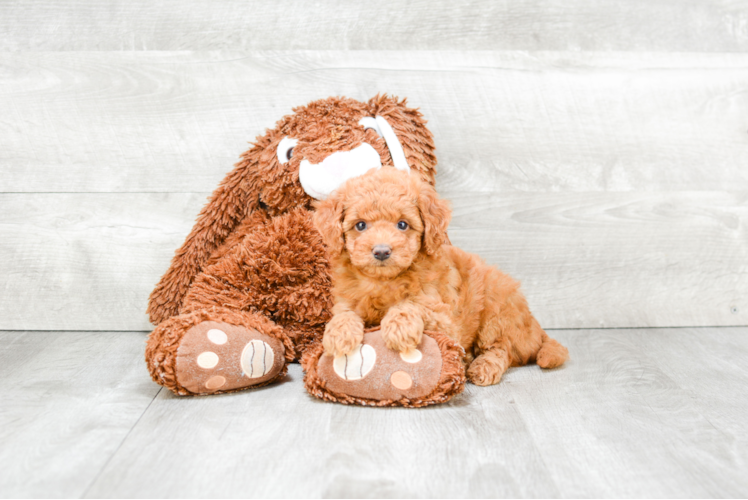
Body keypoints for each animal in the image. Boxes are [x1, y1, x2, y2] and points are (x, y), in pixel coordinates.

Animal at [312, 169, 568, 386]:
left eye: (402, 224)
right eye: (360, 225)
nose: (382, 251)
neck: (383, 281)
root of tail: (534, 325)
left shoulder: (444, 317)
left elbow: (411, 304)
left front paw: (399, 328)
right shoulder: (345, 300)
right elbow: (344, 314)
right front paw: (339, 334)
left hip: (497, 308)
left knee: (502, 348)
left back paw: (482, 367)